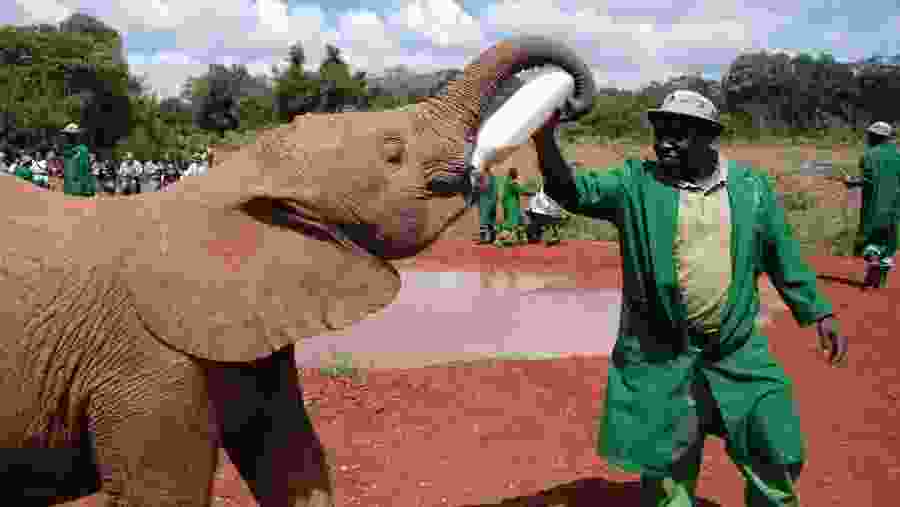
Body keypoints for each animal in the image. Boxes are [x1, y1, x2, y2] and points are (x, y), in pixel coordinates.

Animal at [0, 35, 595, 506]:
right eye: (392, 151)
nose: (570, 101)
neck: (233, 180)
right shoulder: (145, 361)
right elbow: (167, 493)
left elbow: (290, 455)